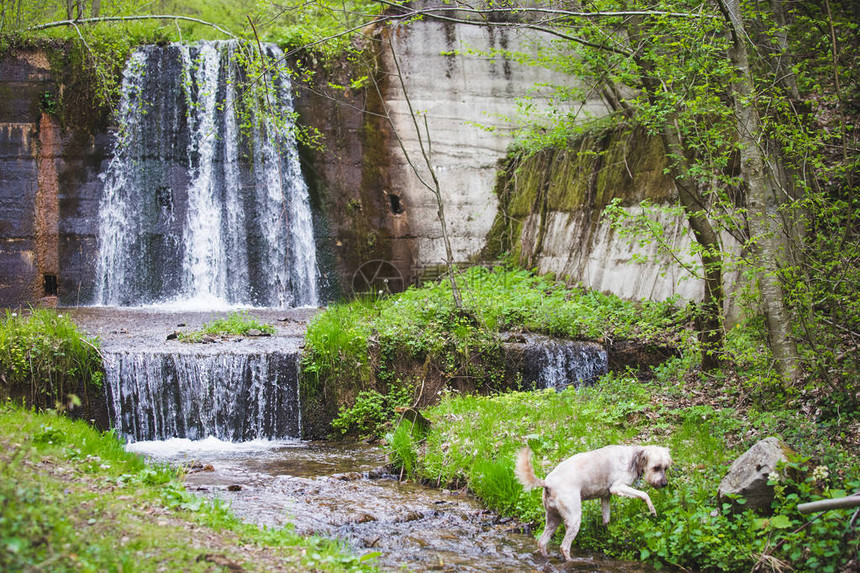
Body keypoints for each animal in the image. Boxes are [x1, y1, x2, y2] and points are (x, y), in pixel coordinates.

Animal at [512, 442, 676, 560]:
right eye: (656, 468)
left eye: (666, 468)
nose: (664, 484)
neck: (633, 458)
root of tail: (547, 483)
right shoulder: (617, 487)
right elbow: (644, 494)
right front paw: (653, 511)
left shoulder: (606, 496)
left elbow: (606, 518)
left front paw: (607, 533)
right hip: (574, 519)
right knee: (564, 547)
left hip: (553, 519)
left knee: (542, 542)